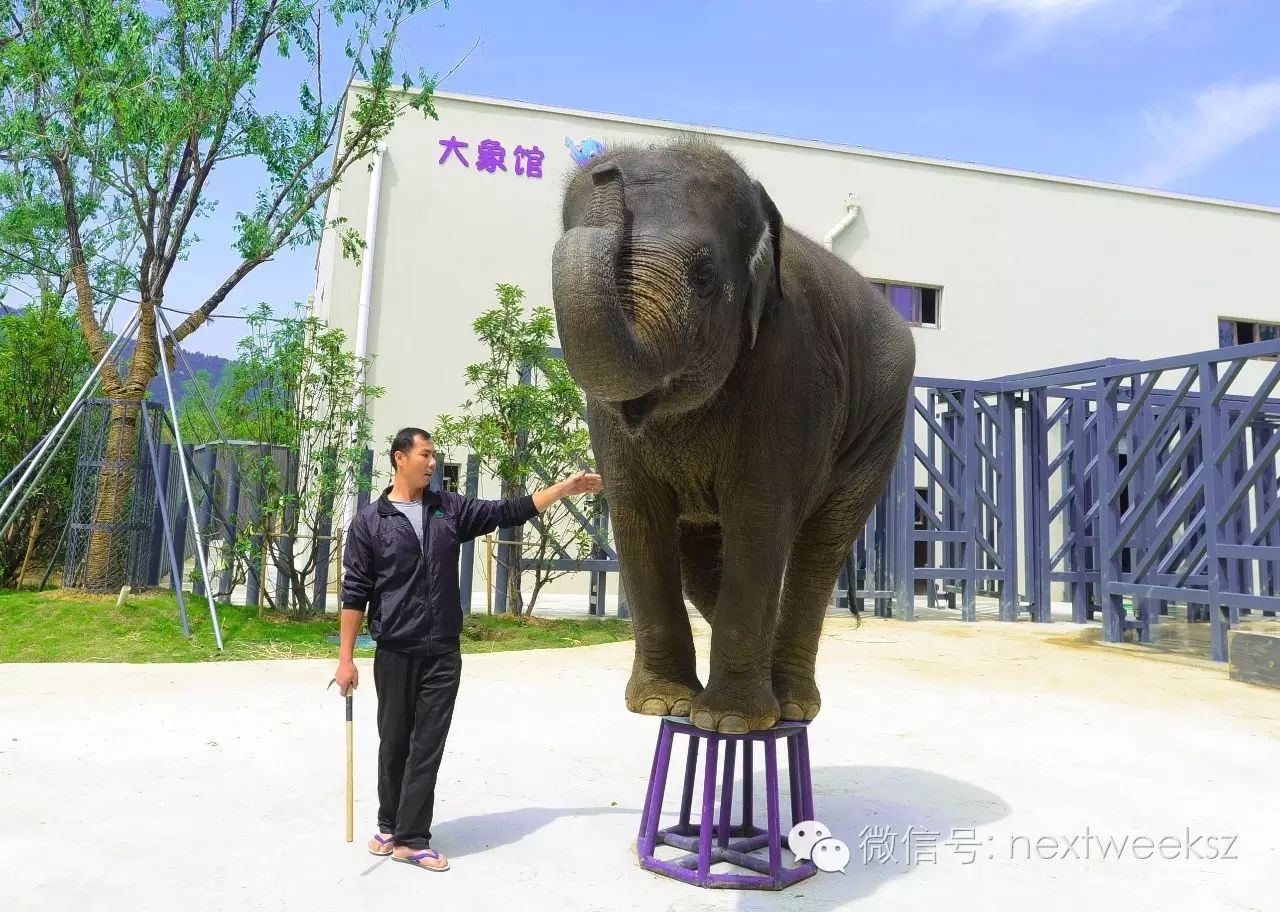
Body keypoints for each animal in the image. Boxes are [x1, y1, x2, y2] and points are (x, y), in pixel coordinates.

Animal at [550, 137, 921, 732]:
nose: (607, 172)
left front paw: (730, 722)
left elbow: (759, 516)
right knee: (700, 558)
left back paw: (791, 706)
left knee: (821, 546)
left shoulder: (790, 374)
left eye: (704, 275)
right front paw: (663, 707)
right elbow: (637, 515)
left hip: (880, 428)